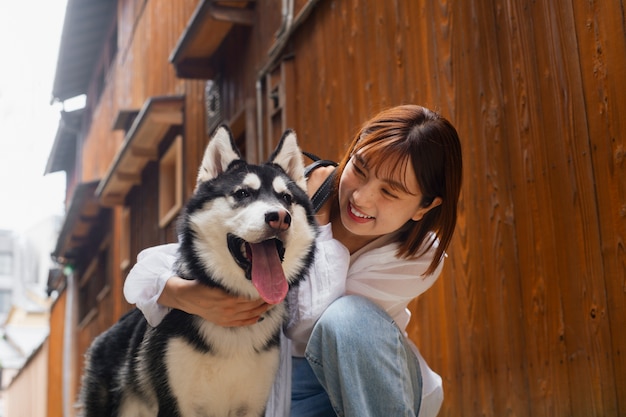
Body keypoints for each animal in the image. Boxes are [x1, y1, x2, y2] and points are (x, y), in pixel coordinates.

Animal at [79, 126, 316, 416]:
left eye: (286, 198)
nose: (280, 217)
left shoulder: (253, 406)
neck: (234, 332)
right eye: (242, 194)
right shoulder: (175, 404)